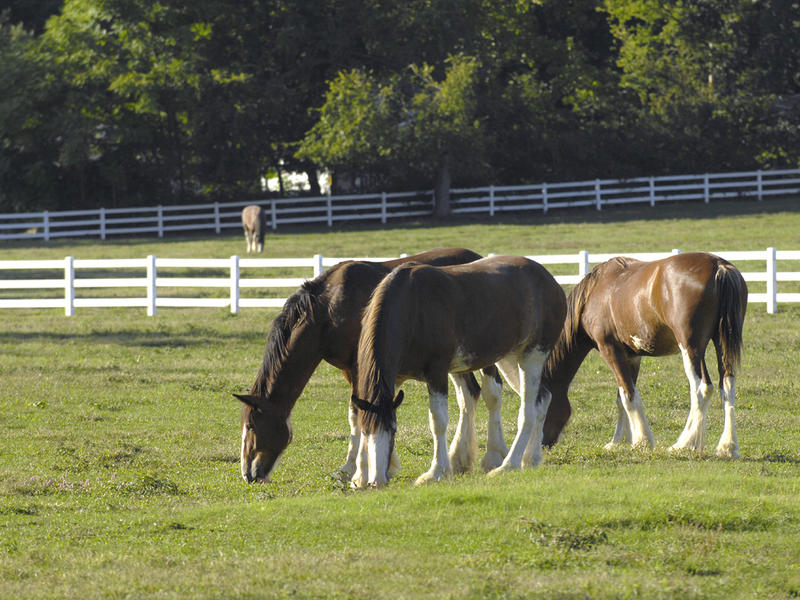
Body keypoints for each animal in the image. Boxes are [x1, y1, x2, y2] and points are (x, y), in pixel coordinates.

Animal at [233, 247, 506, 482]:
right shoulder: (354, 369)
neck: (329, 309)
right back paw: (458, 459)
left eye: (251, 425)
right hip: (456, 363)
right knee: (469, 395)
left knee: (491, 393)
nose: (248, 474)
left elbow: (356, 415)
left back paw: (495, 456)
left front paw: (355, 468)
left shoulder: (357, 368)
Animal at [352, 254, 568, 488]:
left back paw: (508, 464)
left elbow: (438, 421)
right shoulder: (396, 378)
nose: (377, 482)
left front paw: (436, 472)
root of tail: (550, 281)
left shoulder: (437, 373)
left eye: (393, 430)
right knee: (542, 398)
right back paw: (531, 458)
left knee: (528, 411)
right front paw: (360, 475)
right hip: (510, 359)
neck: (413, 307)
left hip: (532, 357)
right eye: (366, 431)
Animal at [540, 251, 748, 458]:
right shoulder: (632, 356)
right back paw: (727, 447)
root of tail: (719, 266)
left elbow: (628, 395)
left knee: (702, 389)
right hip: (721, 344)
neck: (594, 293)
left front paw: (642, 441)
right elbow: (622, 397)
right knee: (727, 385)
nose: (542, 444)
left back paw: (684, 444)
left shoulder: (610, 350)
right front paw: (619, 441)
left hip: (690, 348)